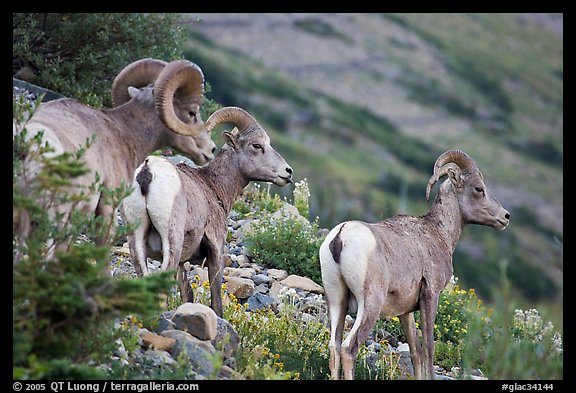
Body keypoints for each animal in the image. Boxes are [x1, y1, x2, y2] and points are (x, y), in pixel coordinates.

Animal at [13, 57, 216, 254]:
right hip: (56, 215)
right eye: (192, 112)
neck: (124, 132)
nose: (211, 150)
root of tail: (27, 146)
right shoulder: (108, 205)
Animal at [121, 105, 292, 316]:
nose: (288, 172)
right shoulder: (215, 249)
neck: (213, 187)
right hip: (171, 242)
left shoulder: (182, 263)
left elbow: (187, 293)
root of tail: (147, 171)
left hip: (136, 239)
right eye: (257, 146)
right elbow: (216, 298)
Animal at [320, 149, 512, 378]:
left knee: (334, 346)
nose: (505, 217)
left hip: (336, 300)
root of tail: (340, 237)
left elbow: (416, 352)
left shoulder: (406, 312)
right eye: (478, 188)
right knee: (349, 348)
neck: (439, 233)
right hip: (369, 305)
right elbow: (428, 347)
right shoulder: (431, 295)